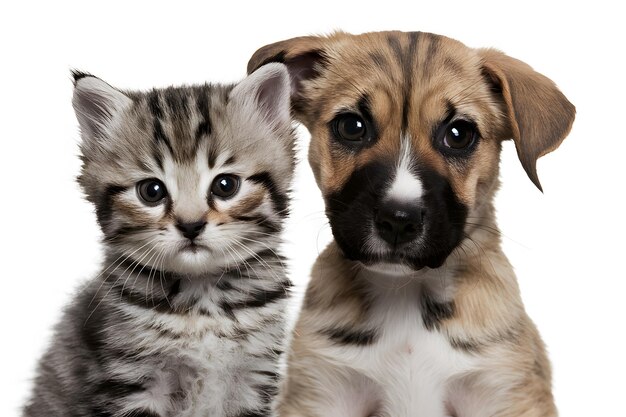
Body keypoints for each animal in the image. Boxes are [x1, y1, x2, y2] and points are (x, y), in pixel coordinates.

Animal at [23, 61, 294, 416]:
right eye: (151, 191)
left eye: (225, 185)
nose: (191, 225)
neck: (203, 304)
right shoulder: (133, 380)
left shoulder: (253, 379)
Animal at [246, 31, 572, 416]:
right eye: (352, 126)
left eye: (459, 134)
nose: (398, 221)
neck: (405, 296)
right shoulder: (322, 391)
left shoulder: (504, 391)